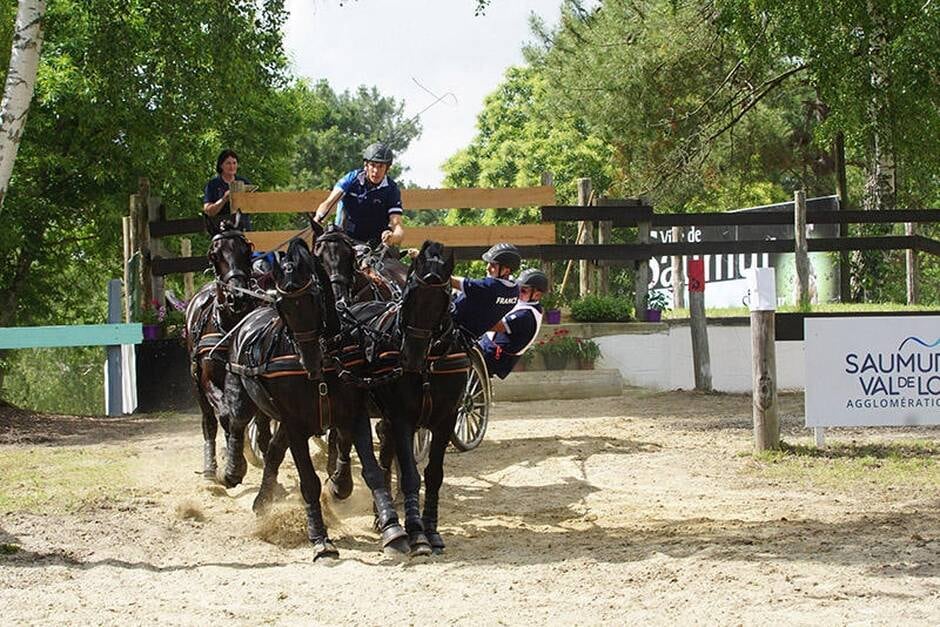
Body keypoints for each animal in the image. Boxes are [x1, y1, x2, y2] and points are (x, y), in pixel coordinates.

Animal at [185, 213, 258, 478]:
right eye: (214, 254)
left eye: (247, 250)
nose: (238, 297)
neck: (230, 324)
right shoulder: (208, 379)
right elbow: (226, 415)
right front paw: (235, 463)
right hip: (196, 382)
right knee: (209, 420)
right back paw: (210, 468)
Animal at [224, 239, 412, 560]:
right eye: (282, 304)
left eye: (314, 294)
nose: (310, 359)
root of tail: (250, 317)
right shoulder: (295, 425)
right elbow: (309, 482)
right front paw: (320, 539)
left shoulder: (354, 413)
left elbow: (373, 471)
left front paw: (392, 528)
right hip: (247, 398)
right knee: (237, 424)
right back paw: (234, 471)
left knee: (274, 452)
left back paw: (263, 500)